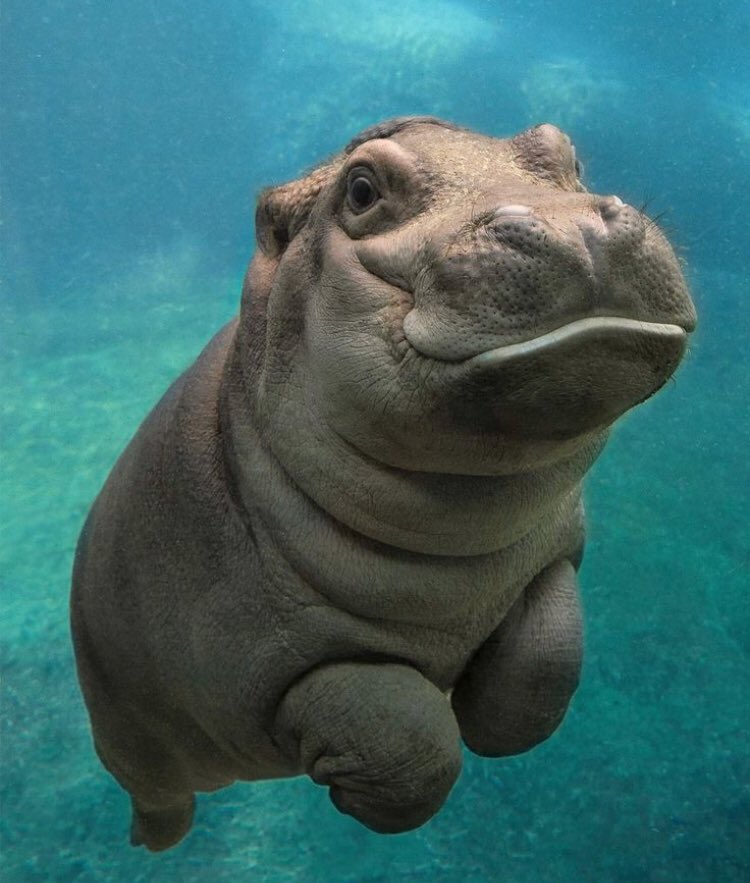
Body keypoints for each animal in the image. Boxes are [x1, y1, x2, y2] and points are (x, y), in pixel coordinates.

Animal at [70, 116, 696, 851]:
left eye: (566, 153)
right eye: (362, 190)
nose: (575, 225)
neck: (459, 535)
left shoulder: (551, 557)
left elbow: (545, 663)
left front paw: (491, 720)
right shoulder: (265, 662)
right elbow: (409, 743)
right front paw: (361, 790)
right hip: (128, 736)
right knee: (158, 792)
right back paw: (153, 841)